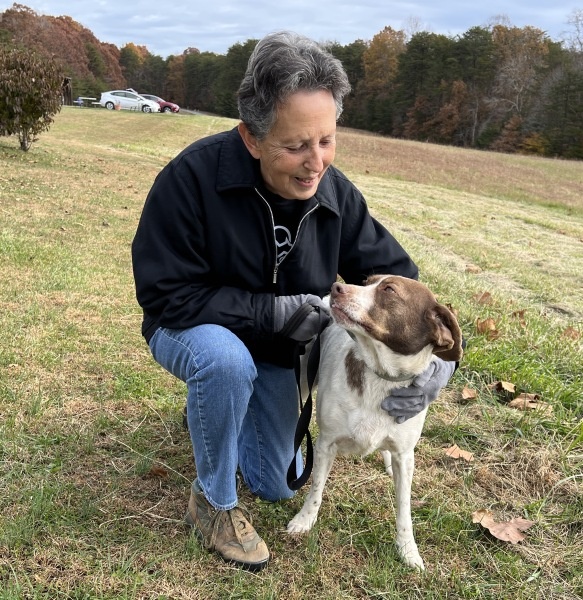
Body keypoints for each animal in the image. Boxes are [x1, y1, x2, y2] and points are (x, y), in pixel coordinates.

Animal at [286, 274, 463, 569]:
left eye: (389, 289)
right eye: (367, 281)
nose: (337, 288)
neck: (380, 376)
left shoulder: (405, 453)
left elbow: (404, 508)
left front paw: (408, 550)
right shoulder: (326, 444)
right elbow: (316, 489)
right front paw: (304, 520)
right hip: (302, 381)